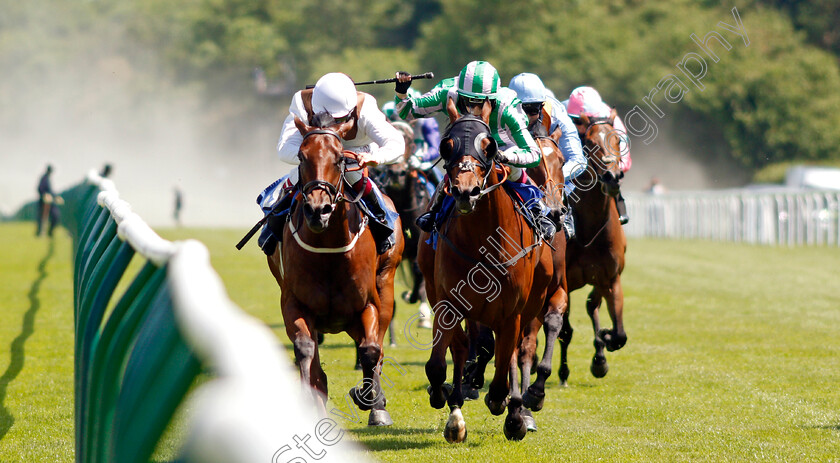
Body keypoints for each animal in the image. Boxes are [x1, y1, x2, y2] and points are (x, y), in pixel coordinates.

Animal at [266, 114, 404, 426]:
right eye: (301, 156)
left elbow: (370, 349)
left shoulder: (367, 304)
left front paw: (369, 399)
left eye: (340, 158)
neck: (328, 248)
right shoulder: (294, 302)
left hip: (387, 281)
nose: (319, 210)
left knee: (376, 344)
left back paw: (378, 405)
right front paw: (311, 398)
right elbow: (305, 348)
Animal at [416, 99, 556, 444]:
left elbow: (505, 367)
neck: (482, 241)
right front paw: (447, 403)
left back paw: (516, 408)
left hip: (533, 302)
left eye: (489, 146)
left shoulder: (512, 312)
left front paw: (509, 409)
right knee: (464, 347)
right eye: (447, 144)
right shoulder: (449, 303)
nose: (465, 191)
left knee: (517, 352)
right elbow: (438, 364)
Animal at [560, 110, 628, 382]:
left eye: (618, 141)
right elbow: (564, 330)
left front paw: (605, 341)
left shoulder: (610, 278)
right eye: (589, 144)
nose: (612, 177)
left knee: (592, 305)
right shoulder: (564, 281)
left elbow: (619, 334)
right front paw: (563, 372)